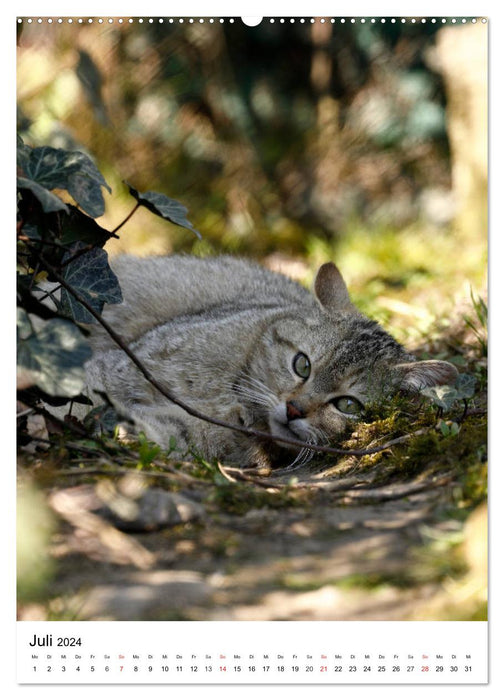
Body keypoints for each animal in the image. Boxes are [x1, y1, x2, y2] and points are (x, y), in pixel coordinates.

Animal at [84, 254, 458, 468]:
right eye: (302, 365)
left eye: (348, 405)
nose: (294, 409)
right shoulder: (115, 368)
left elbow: (169, 434)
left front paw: (130, 432)